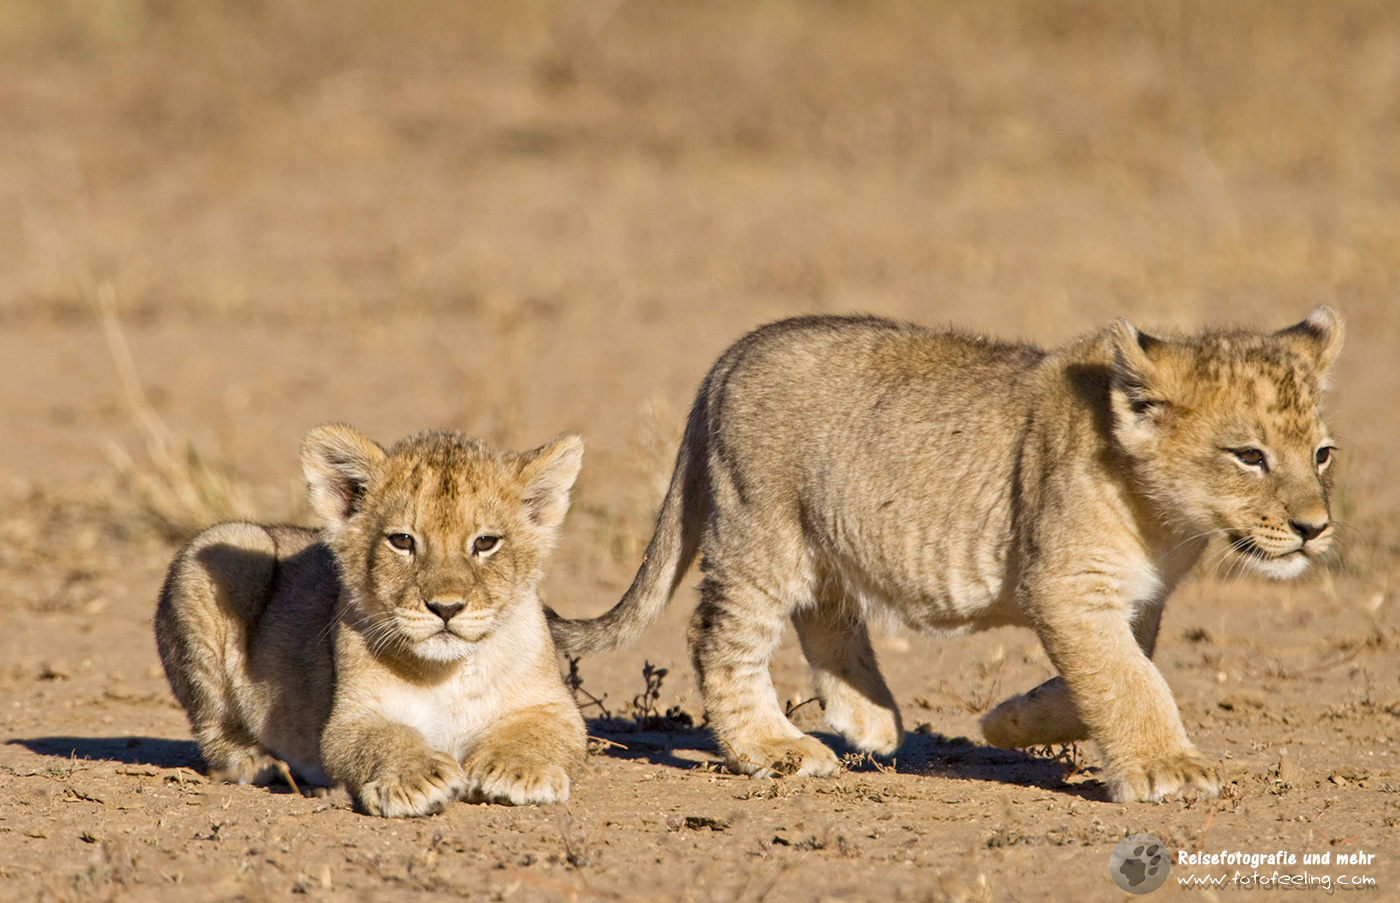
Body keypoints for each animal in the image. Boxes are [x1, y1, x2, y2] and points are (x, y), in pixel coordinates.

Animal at [156, 424, 587, 816]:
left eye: (485, 543)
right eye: (402, 541)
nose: (446, 608)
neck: (448, 672)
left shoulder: (552, 706)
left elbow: (540, 733)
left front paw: (518, 771)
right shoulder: (352, 718)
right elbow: (382, 739)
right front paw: (417, 778)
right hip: (219, 552)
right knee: (214, 729)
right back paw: (258, 761)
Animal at [548, 308, 1343, 802]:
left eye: (1322, 454)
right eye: (1249, 456)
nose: (1315, 527)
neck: (1167, 518)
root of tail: (730, 356)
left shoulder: (1134, 601)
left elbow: (1109, 677)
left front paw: (1010, 721)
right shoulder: (1067, 586)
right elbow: (1129, 681)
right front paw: (1169, 768)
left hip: (824, 532)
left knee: (824, 613)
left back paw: (870, 719)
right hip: (761, 530)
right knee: (720, 640)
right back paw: (775, 748)